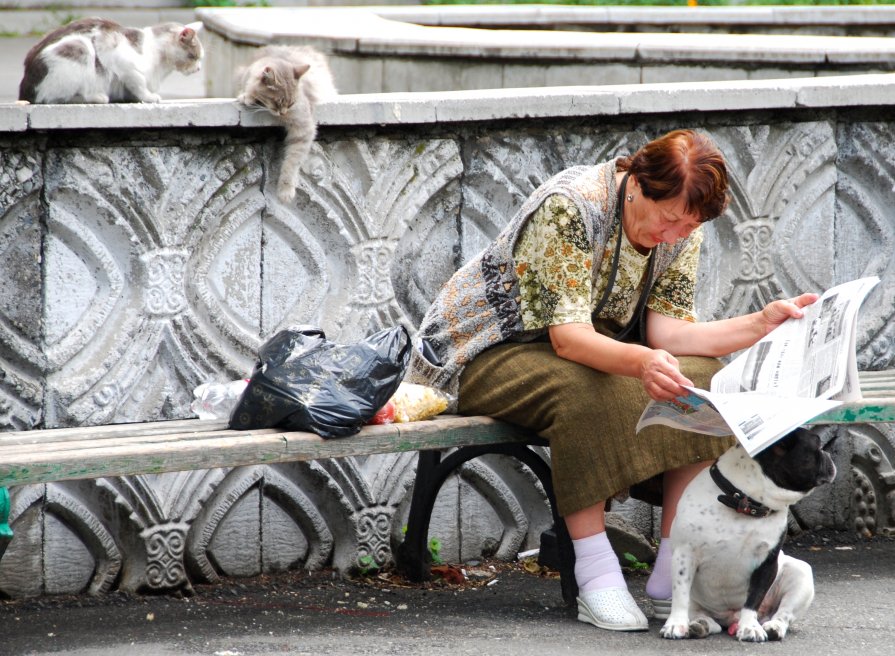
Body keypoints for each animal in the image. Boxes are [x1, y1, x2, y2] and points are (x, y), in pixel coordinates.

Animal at [19, 17, 205, 104]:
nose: (198, 69)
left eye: (198, 58)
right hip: (80, 47)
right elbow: (139, 83)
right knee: (53, 98)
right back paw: (96, 97)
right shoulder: (121, 61)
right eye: (194, 57)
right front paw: (149, 97)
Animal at [236, 45, 338, 202]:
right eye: (277, 102)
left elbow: (291, 163)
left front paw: (285, 189)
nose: (283, 113)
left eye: (291, 103)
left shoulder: (303, 128)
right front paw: (247, 96)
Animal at [656, 428, 840, 644]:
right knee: (705, 617)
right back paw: (699, 625)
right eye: (818, 447)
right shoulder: (685, 555)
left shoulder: (767, 563)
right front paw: (675, 624)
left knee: (783, 614)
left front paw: (750, 627)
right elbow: (681, 595)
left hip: (800, 574)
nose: (829, 454)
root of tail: (730, 619)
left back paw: (773, 627)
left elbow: (754, 598)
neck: (744, 501)